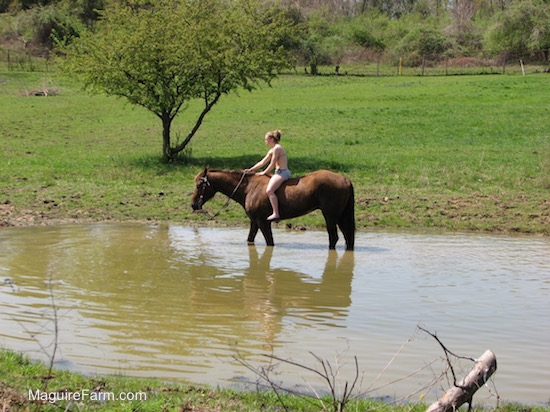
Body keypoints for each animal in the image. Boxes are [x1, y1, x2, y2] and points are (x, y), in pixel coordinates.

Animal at [192, 166, 356, 249]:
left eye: (199, 184)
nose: (193, 204)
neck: (249, 188)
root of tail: (345, 180)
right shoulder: (254, 222)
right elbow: (250, 239)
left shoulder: (263, 222)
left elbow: (270, 242)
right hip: (341, 217)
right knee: (348, 238)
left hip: (331, 216)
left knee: (334, 238)